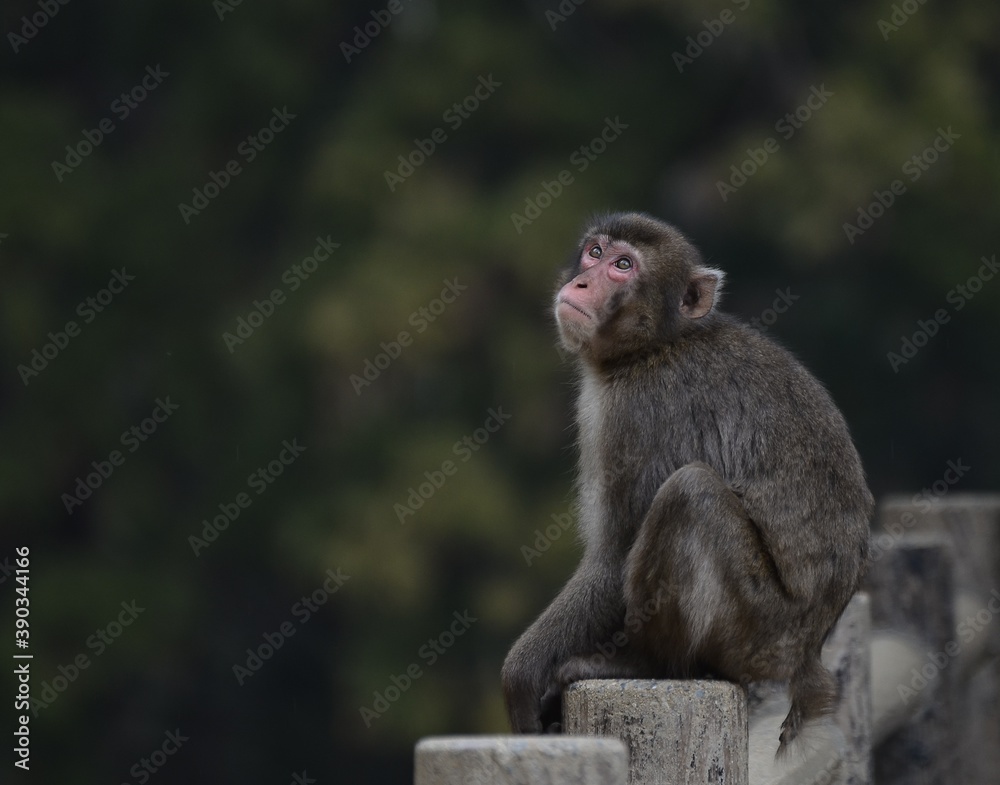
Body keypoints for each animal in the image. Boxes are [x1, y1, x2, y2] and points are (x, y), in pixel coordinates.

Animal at [501, 211, 873, 752]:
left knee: (690, 494)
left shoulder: (638, 414)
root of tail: (807, 655)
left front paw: (523, 674)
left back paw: (646, 664)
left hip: (758, 631)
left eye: (624, 266)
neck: (656, 346)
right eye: (595, 252)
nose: (582, 282)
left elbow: (612, 559)